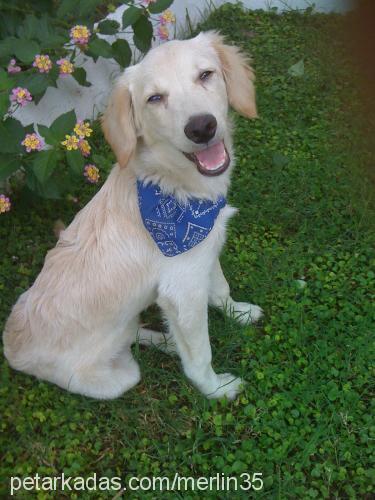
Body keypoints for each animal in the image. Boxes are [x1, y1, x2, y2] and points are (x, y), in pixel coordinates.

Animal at [2, 31, 262, 400]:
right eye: (155, 98)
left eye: (205, 75)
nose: (201, 127)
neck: (176, 189)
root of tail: (10, 347)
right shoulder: (182, 291)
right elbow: (200, 354)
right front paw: (216, 388)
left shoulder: (204, 253)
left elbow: (221, 289)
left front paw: (238, 312)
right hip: (122, 378)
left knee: (132, 331)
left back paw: (167, 341)